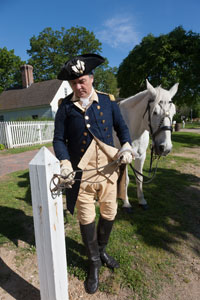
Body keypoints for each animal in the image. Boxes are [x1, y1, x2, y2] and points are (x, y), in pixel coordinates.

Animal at [115, 79, 179, 211]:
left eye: (174, 112)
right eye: (154, 112)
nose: (165, 148)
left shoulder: (141, 156)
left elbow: (139, 179)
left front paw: (142, 201)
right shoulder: (124, 158)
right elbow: (126, 180)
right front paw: (126, 203)